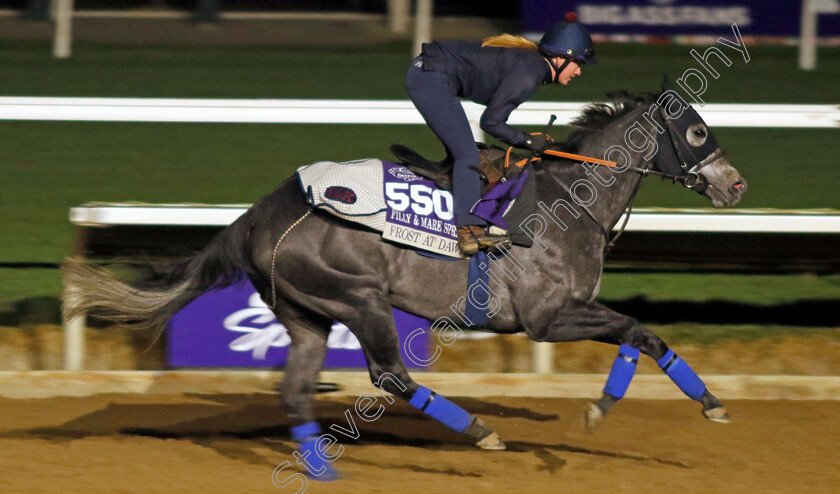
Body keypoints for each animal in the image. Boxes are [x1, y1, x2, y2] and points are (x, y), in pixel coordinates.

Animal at [62, 84, 744, 478]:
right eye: (698, 131)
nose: (735, 184)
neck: (572, 199)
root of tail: (254, 217)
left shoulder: (568, 312)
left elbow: (640, 336)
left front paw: (650, 405)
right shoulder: (547, 318)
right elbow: (639, 329)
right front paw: (651, 407)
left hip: (307, 314)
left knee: (295, 390)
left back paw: (322, 469)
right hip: (359, 298)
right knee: (390, 375)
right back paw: (481, 434)